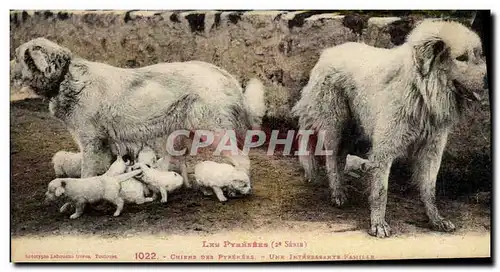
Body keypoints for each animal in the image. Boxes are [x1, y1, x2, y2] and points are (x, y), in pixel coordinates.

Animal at [10, 37, 266, 181]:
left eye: (16, 57)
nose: (7, 66)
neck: (65, 77)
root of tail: (225, 75)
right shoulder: (104, 144)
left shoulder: (91, 142)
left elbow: (86, 173)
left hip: (214, 132)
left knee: (243, 160)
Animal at [292, 19, 488, 237]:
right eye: (461, 58)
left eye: (479, 55)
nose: (488, 80)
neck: (421, 89)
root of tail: (328, 52)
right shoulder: (384, 149)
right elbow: (381, 191)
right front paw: (378, 224)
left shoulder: (432, 150)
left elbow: (429, 189)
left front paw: (436, 219)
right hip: (335, 126)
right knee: (332, 159)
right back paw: (337, 193)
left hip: (353, 129)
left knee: (341, 156)